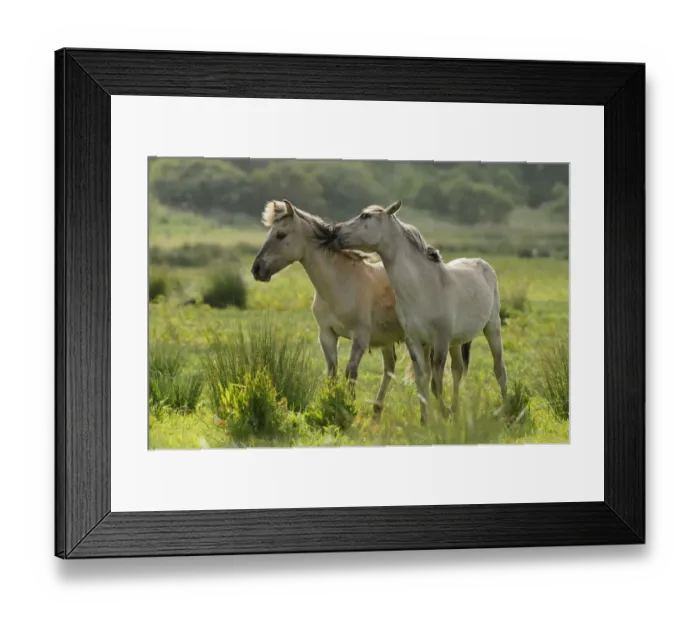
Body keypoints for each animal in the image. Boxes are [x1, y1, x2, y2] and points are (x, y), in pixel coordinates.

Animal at [251, 199, 410, 415]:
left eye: (281, 234)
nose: (256, 269)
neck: (341, 284)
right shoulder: (327, 334)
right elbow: (333, 372)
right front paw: (332, 405)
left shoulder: (360, 338)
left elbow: (351, 372)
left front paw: (348, 409)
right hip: (388, 339)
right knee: (390, 368)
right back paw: (377, 412)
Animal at [331, 200, 508, 423]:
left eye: (365, 216)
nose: (334, 231)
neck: (422, 287)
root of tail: (482, 264)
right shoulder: (415, 341)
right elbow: (422, 381)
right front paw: (426, 420)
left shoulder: (440, 341)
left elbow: (435, 385)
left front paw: (443, 416)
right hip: (456, 341)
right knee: (458, 370)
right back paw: (457, 411)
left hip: (492, 328)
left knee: (499, 369)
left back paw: (507, 408)